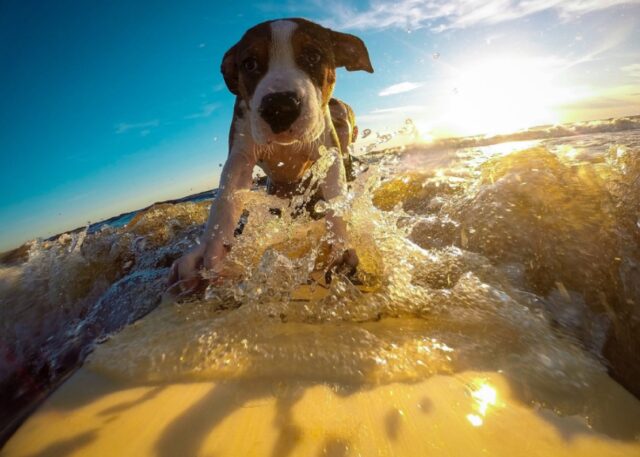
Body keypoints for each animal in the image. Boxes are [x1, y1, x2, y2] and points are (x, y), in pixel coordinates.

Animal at [168, 17, 372, 294]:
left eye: (313, 56)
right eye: (249, 64)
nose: (280, 106)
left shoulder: (327, 150)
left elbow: (335, 197)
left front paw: (339, 245)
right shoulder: (240, 153)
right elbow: (225, 201)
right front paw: (210, 253)